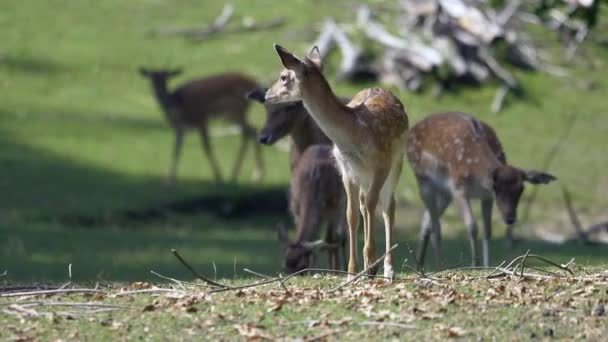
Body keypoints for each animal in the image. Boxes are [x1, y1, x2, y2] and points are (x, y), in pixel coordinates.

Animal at [276, 144, 346, 272]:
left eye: (302, 267)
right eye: (284, 268)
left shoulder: (335, 207)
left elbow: (332, 239)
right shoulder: (295, 208)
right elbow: (313, 243)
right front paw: (312, 272)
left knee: (336, 238)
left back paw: (336, 269)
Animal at [406, 111, 560, 268]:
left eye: (521, 189)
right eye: (496, 187)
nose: (510, 218)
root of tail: (412, 130)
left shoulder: (486, 196)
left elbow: (487, 230)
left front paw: (486, 266)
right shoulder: (458, 189)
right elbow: (472, 226)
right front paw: (476, 264)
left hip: (443, 193)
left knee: (427, 221)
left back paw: (420, 265)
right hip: (423, 180)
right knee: (436, 225)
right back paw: (439, 266)